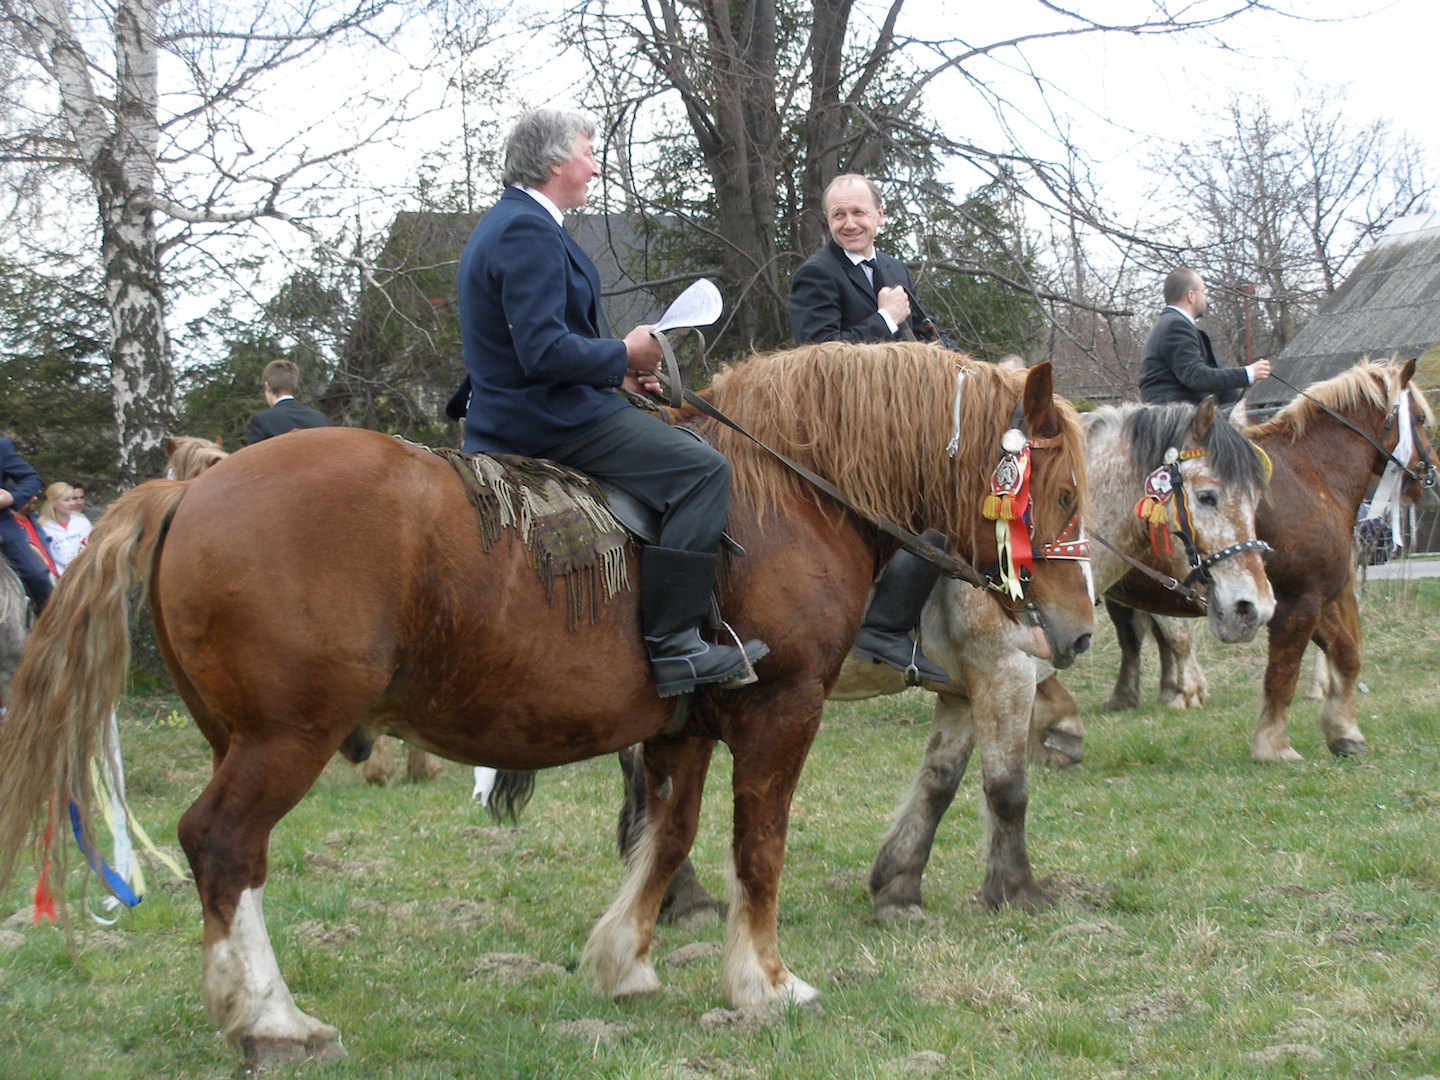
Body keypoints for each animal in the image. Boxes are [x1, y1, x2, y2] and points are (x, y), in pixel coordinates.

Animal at [0, 342, 1082, 1071]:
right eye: (1064, 494)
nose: (1068, 634)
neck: (786, 496)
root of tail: (193, 488)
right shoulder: (781, 711)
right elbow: (757, 848)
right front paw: (766, 985)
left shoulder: (686, 725)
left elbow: (669, 835)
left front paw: (624, 961)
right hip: (284, 737)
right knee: (222, 843)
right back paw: (268, 1020)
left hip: (242, 735)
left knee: (240, 860)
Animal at [1100, 360, 1428, 766]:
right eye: (1421, 419)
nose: (1430, 473)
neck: (1310, 475)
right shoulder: (1300, 602)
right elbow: (1282, 673)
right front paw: (1273, 743)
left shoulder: (1309, 597)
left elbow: (1344, 655)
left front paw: (1343, 731)